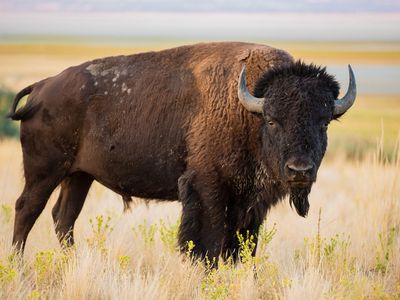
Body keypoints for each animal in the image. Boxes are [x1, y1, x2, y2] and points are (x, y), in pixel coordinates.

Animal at [7, 42, 356, 262]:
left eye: (324, 122)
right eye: (272, 120)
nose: (300, 170)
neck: (247, 110)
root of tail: (42, 87)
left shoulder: (251, 203)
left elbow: (242, 247)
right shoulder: (208, 189)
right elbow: (208, 243)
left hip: (79, 176)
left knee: (63, 217)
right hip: (44, 172)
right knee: (27, 209)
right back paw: (17, 265)